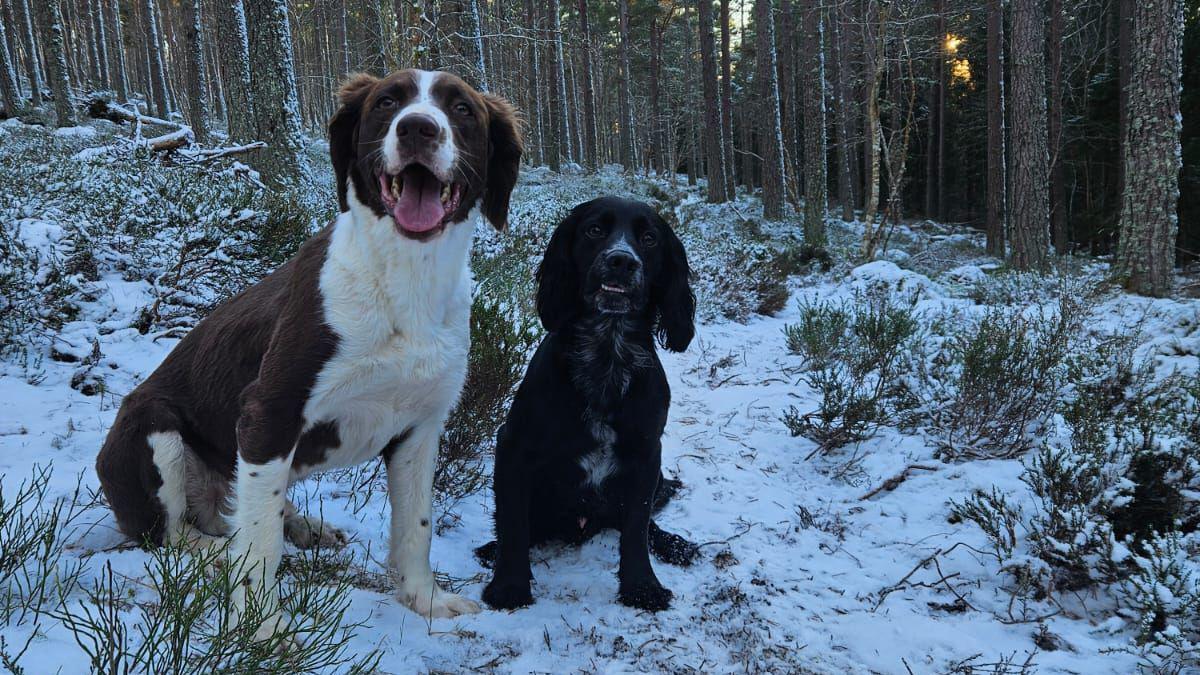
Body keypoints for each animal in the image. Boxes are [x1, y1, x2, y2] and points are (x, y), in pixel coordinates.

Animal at [97, 69, 520, 624]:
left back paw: (303, 525)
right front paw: (260, 628)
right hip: (155, 427)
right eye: (387, 102)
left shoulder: (421, 427)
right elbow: (260, 546)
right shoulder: (267, 412)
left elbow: (416, 527)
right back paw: (219, 550)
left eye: (463, 109)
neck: (403, 280)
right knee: (172, 534)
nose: (417, 129)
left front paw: (424, 599)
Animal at [477, 194, 700, 610]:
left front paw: (642, 586)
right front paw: (509, 586)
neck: (606, 352)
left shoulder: (647, 453)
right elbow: (513, 523)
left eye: (649, 238)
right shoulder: (513, 446)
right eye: (594, 230)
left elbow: (637, 527)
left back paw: (674, 544)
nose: (622, 261)